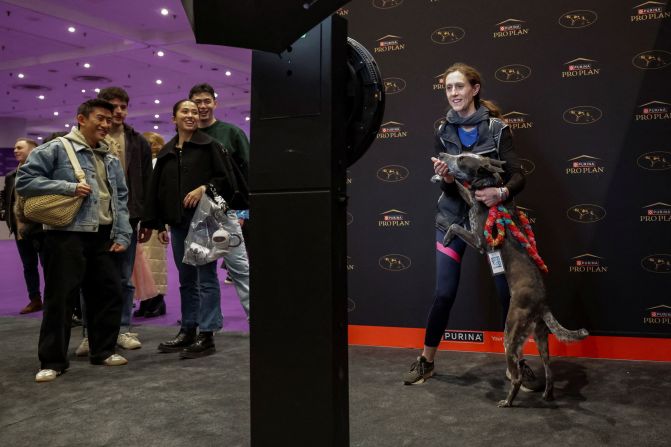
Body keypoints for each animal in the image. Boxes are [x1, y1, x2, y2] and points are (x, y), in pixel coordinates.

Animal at [436, 152, 588, 408]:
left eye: (462, 158)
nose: (443, 155)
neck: (486, 186)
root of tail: (542, 303)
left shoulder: (479, 241)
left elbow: (456, 225)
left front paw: (446, 237)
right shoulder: (472, 198)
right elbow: (461, 188)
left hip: (511, 332)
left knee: (516, 375)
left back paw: (507, 401)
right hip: (540, 335)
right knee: (549, 370)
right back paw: (547, 395)